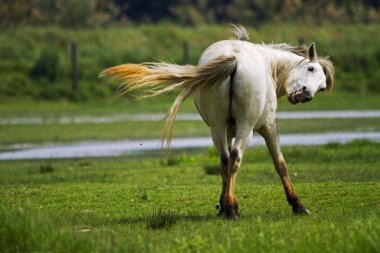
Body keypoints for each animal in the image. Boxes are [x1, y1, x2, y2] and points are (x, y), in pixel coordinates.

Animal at [100, 25, 332, 219]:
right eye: (311, 69)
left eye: (322, 87)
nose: (306, 95)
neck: (269, 64)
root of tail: (234, 59)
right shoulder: (269, 126)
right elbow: (280, 164)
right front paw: (298, 205)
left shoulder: (227, 130)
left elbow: (225, 166)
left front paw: (222, 203)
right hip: (246, 128)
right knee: (235, 158)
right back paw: (231, 210)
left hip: (218, 127)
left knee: (225, 160)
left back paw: (228, 207)